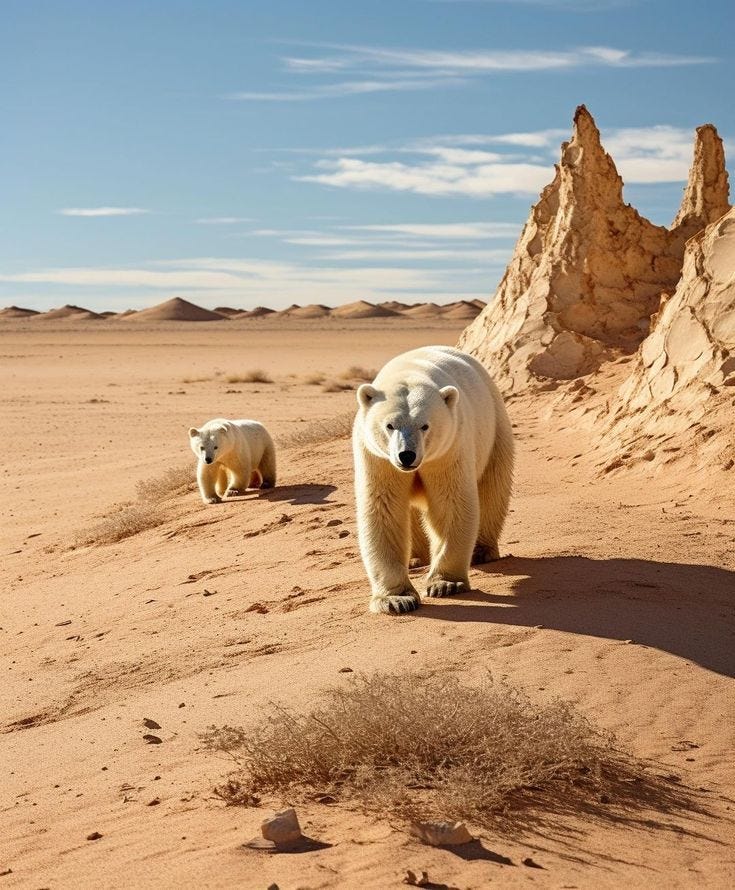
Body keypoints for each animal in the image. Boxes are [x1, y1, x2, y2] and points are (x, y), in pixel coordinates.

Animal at [352, 345, 514, 614]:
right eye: (390, 425)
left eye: (424, 426)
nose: (406, 455)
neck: (409, 371)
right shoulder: (377, 458)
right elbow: (384, 508)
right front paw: (396, 599)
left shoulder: (449, 448)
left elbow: (451, 503)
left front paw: (445, 584)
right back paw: (416, 557)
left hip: (494, 428)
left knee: (492, 486)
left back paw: (481, 551)